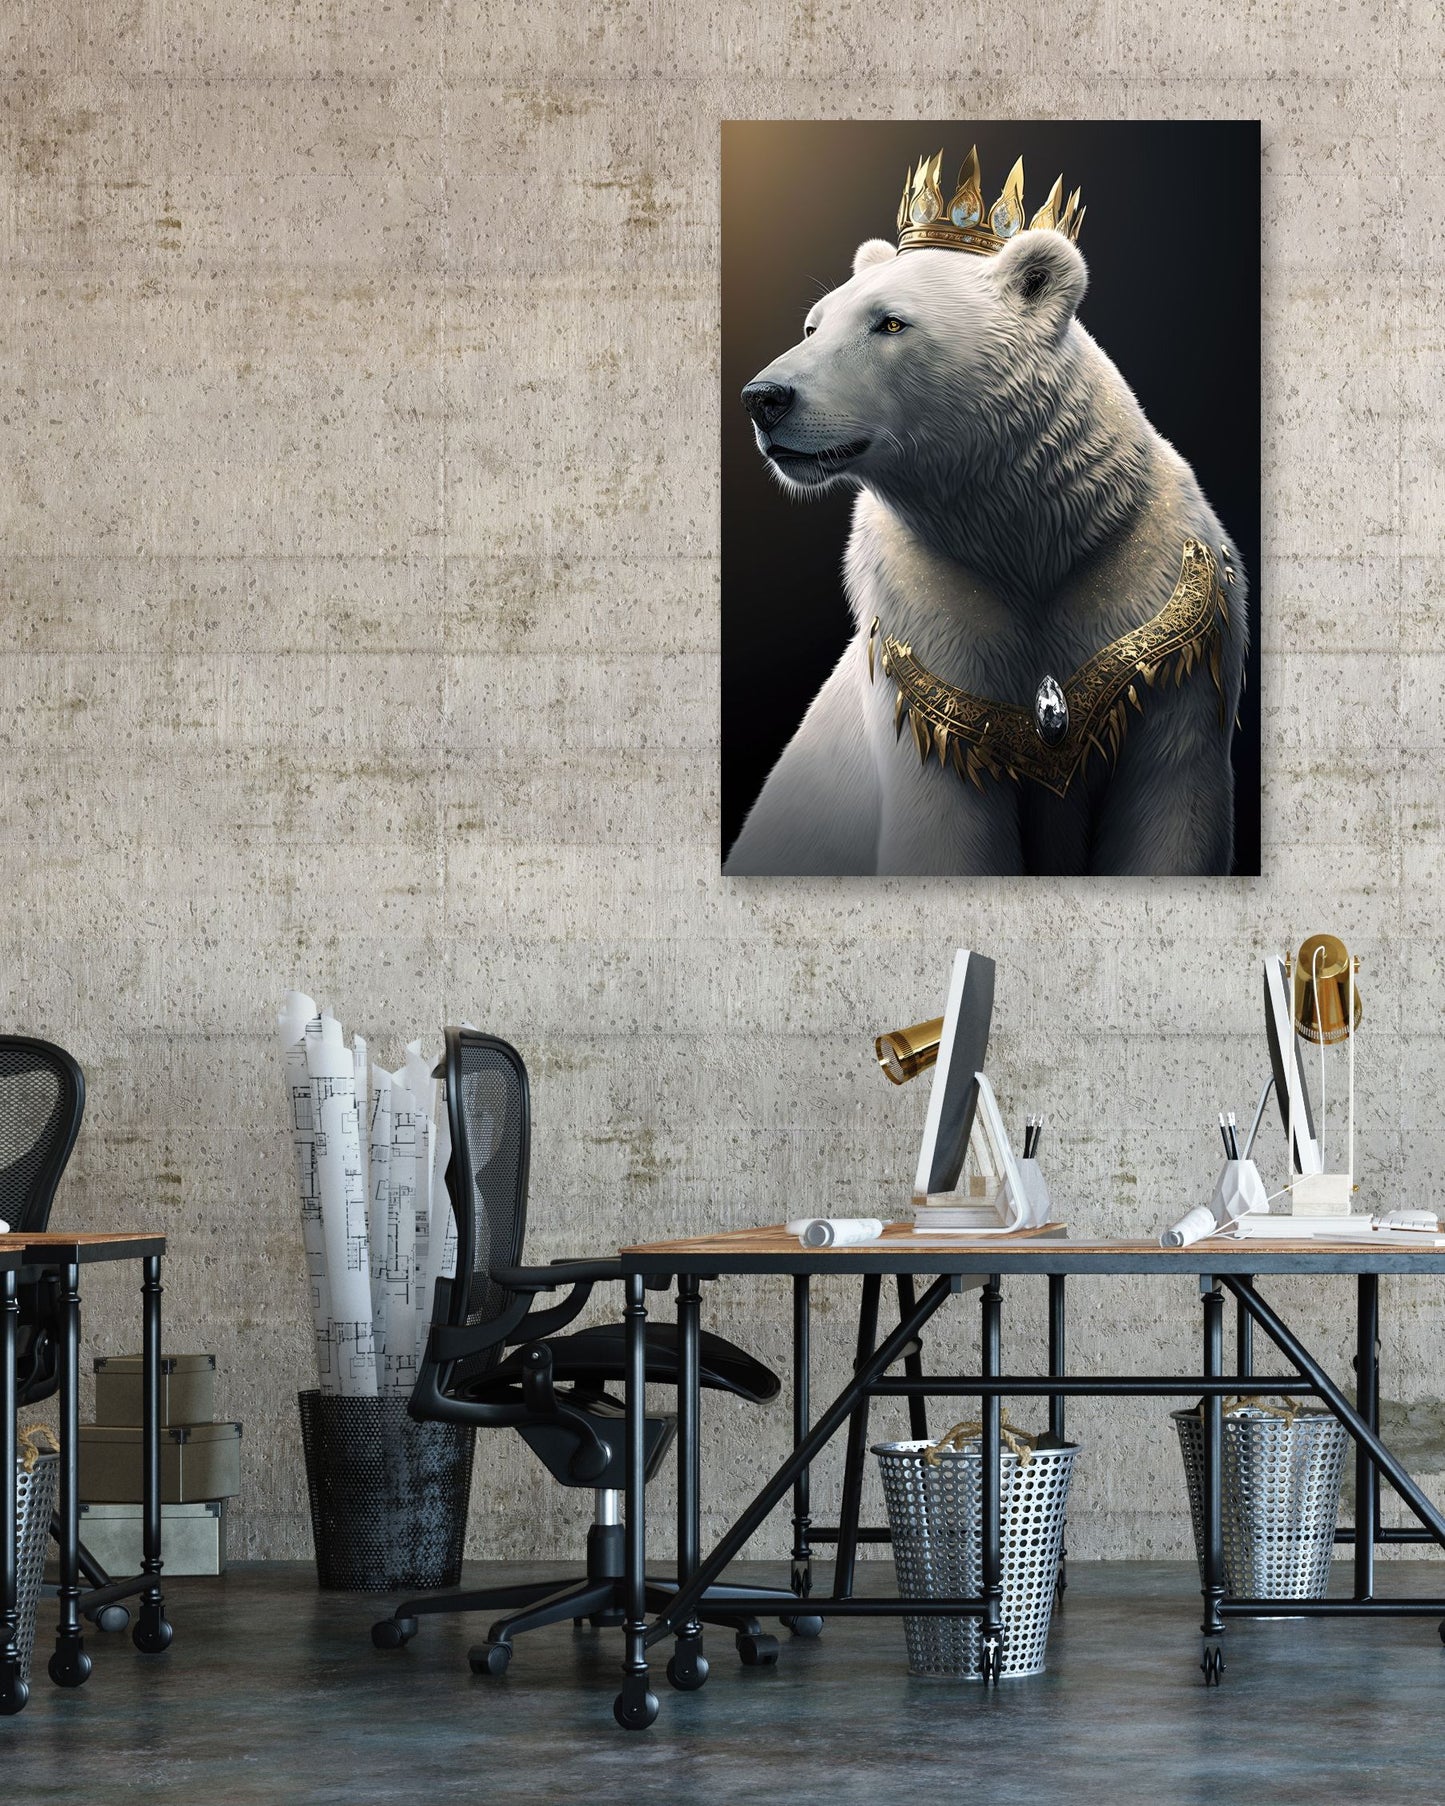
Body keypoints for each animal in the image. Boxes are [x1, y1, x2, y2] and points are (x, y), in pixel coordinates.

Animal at [724, 223, 1249, 877]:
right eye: (813, 326)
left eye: (890, 322)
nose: (764, 397)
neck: (1032, 539)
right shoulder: (933, 626)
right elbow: (949, 825)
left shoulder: (1159, 602)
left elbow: (1169, 803)